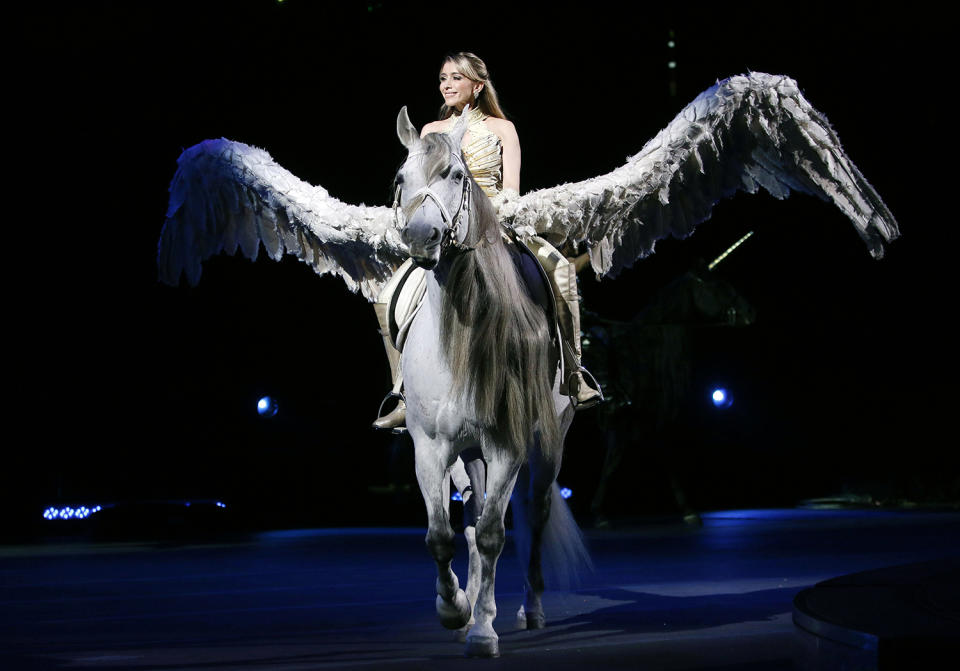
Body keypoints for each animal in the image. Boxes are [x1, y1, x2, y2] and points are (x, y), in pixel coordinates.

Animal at [392, 109, 584, 656]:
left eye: (455, 175)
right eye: (401, 179)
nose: (420, 237)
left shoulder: (506, 446)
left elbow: (497, 534)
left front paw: (481, 630)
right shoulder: (430, 446)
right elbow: (442, 535)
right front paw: (455, 608)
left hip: (546, 447)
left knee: (534, 516)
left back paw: (530, 608)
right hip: (468, 455)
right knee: (474, 522)